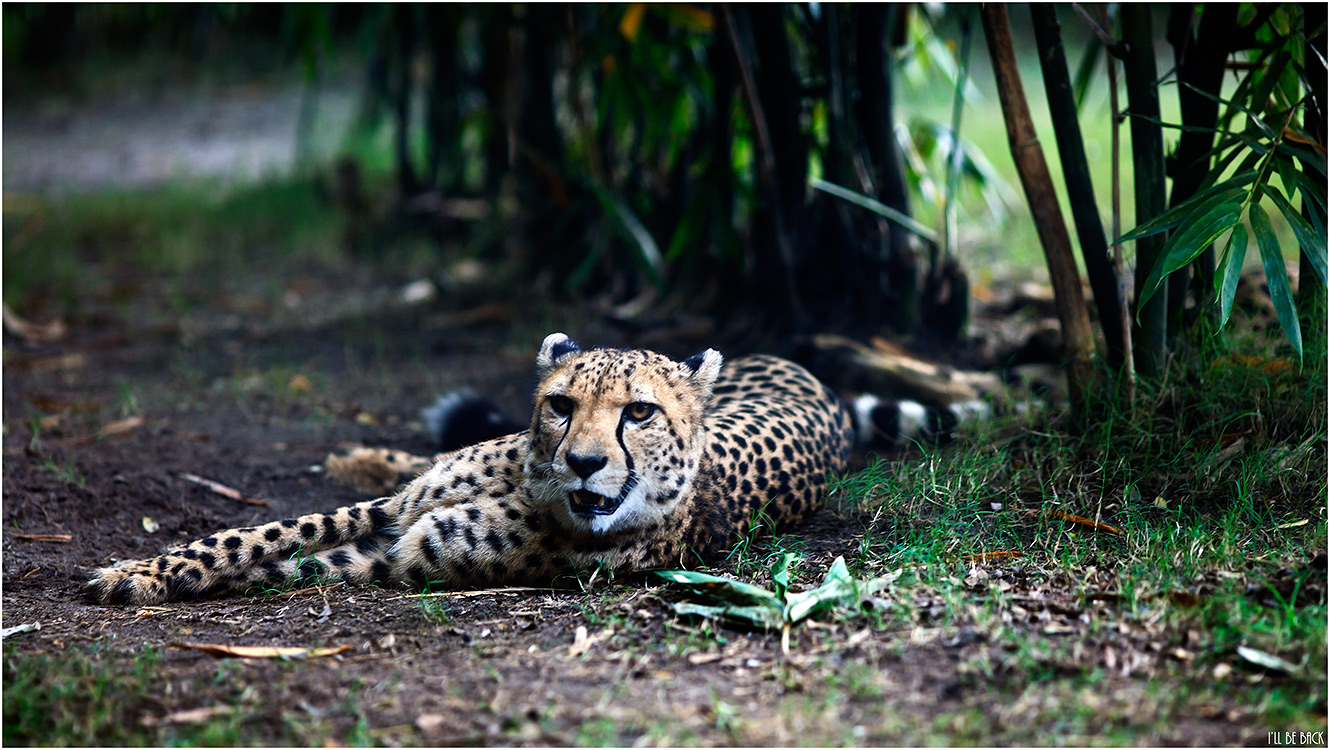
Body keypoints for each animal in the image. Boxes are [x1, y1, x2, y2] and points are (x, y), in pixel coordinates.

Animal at [85, 332, 978, 603]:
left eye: (639, 413)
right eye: (560, 403)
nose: (583, 462)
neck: (531, 485)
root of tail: (807, 373)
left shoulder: (403, 553)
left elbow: (286, 565)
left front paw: (156, 580)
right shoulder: (394, 511)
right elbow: (255, 535)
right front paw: (142, 568)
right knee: (410, 459)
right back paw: (357, 452)